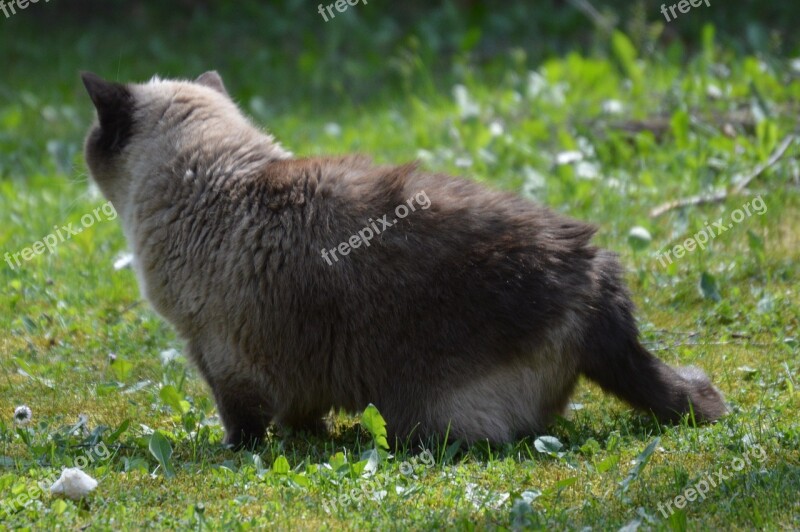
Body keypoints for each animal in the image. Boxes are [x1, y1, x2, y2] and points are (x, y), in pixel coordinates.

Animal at [79, 68, 724, 446]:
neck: (219, 181)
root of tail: (590, 269)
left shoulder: (218, 357)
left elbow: (245, 426)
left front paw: (239, 452)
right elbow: (300, 416)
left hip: (429, 410)